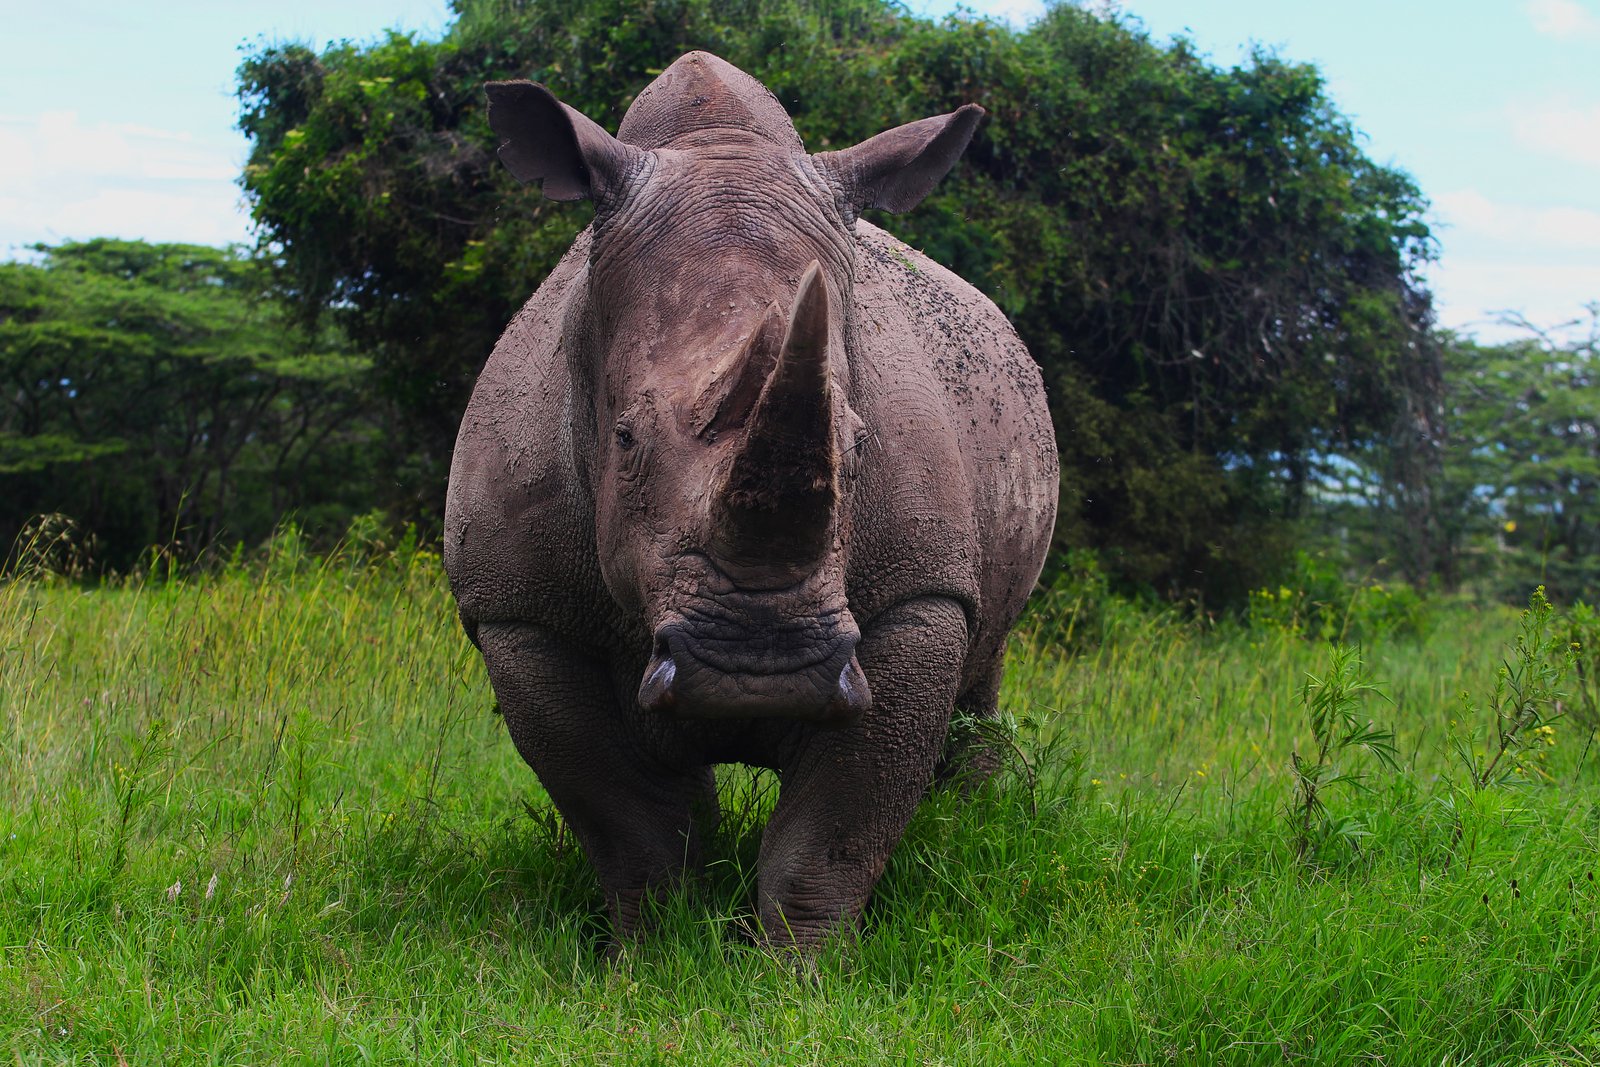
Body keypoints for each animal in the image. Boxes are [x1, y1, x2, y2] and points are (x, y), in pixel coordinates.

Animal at [444, 52, 1057, 946]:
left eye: (859, 445)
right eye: (623, 438)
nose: (759, 669)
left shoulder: (922, 593)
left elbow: (830, 835)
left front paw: (803, 968)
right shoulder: (520, 609)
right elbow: (628, 822)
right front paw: (654, 954)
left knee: (987, 667)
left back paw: (971, 826)